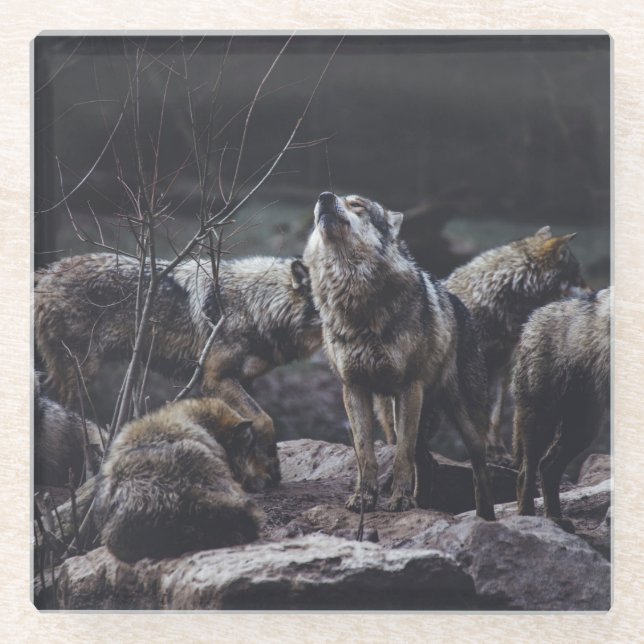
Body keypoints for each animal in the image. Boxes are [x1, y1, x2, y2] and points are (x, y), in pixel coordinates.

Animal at [35, 253, 322, 488]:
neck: (256, 305)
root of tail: (46, 274)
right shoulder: (215, 378)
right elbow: (264, 420)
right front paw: (270, 470)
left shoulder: (240, 381)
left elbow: (245, 428)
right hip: (81, 374)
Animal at [303, 192, 495, 519]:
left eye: (357, 205)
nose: (324, 197)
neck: (354, 299)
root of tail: (459, 304)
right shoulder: (353, 388)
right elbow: (365, 454)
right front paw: (364, 499)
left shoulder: (408, 387)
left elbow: (401, 457)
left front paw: (400, 501)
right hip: (393, 416)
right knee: (427, 462)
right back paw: (422, 503)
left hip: (463, 420)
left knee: (479, 470)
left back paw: (485, 517)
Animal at [512, 287, 610, 530]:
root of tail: (532, 317)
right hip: (543, 421)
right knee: (527, 471)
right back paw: (528, 517)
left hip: (583, 429)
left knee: (547, 467)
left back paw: (555, 518)